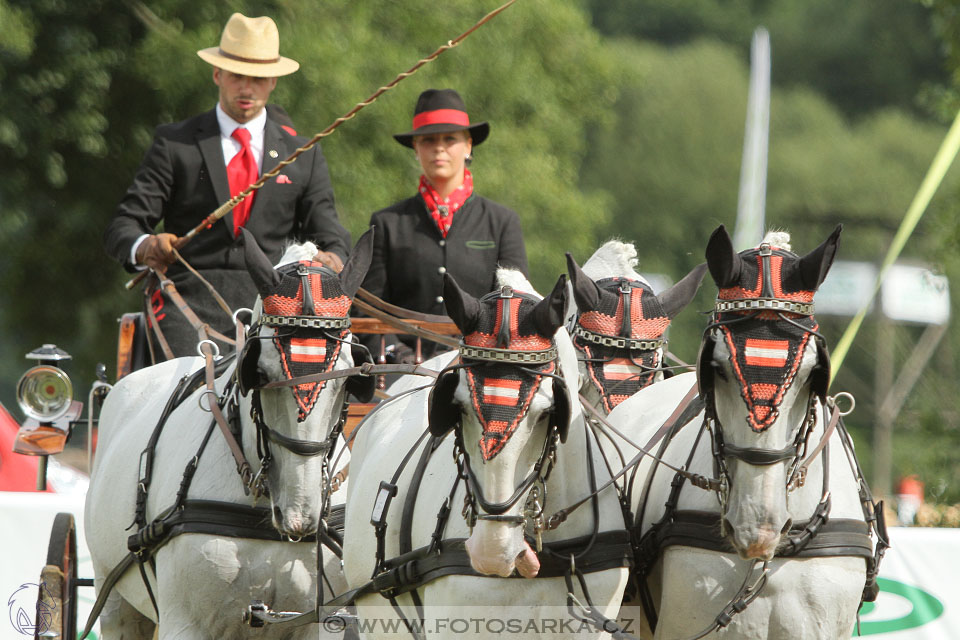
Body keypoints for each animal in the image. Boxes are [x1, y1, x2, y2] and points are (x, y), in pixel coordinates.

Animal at [84, 231, 376, 640]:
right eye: (261, 373)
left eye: (350, 379)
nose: (299, 513)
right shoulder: (184, 623)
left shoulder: (321, 621)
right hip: (114, 601)